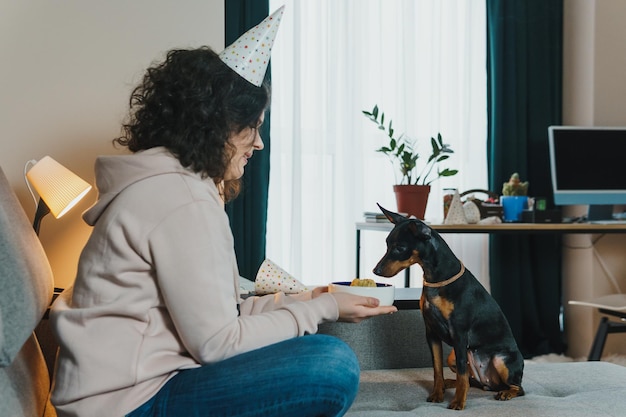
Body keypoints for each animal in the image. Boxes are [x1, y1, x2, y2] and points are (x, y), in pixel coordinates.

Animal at [370, 205, 520, 410]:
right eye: (386, 244)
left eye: (400, 248)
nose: (375, 271)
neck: (436, 278)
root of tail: (489, 384)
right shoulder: (431, 333)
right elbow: (437, 369)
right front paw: (437, 393)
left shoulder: (459, 334)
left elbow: (463, 372)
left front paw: (458, 401)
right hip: (454, 357)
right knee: (471, 380)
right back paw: (451, 383)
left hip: (500, 359)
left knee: (517, 387)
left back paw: (506, 392)